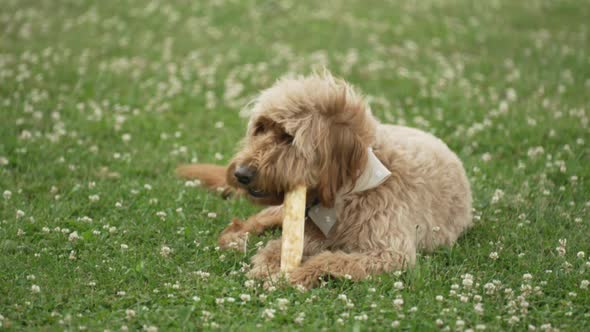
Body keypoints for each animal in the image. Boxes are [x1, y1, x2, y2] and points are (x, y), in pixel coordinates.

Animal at [178, 72, 474, 288]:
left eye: (288, 137)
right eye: (260, 128)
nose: (241, 174)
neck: (350, 189)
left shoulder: (390, 253)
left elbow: (331, 260)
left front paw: (295, 275)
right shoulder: (309, 229)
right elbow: (275, 248)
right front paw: (266, 266)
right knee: (253, 221)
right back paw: (235, 237)